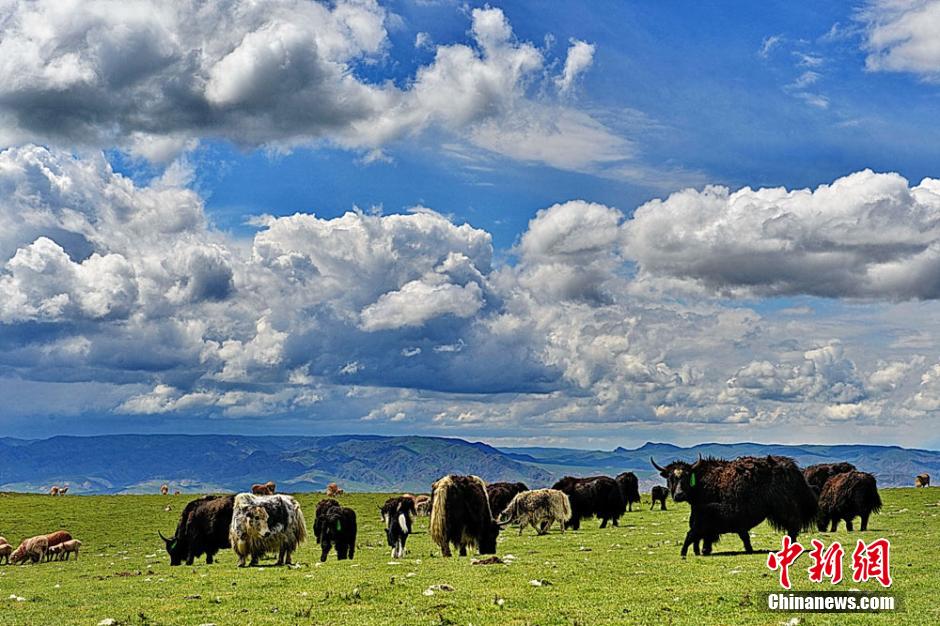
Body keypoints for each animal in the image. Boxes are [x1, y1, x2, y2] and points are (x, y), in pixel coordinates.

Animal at [652, 455, 817, 557]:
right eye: (671, 478)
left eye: (686, 477)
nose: (679, 495)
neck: (701, 481)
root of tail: (792, 468)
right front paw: (705, 550)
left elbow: (707, 535)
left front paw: (705, 550)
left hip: (784, 507)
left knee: (793, 526)